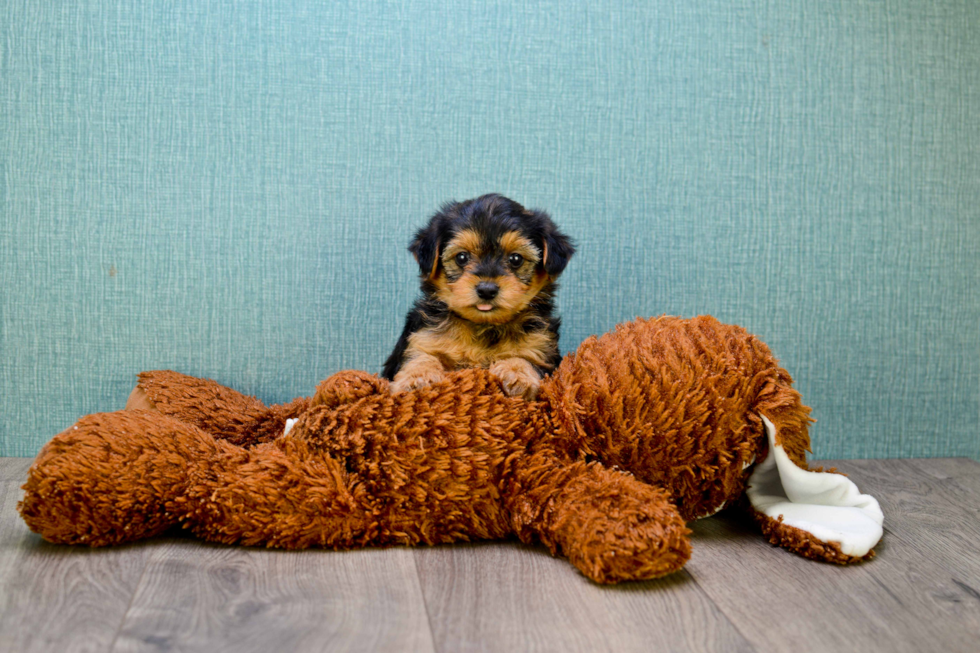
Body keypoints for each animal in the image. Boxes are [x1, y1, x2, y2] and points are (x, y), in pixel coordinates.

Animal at [382, 191, 576, 400]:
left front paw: (517, 375)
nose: (487, 289)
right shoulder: (422, 338)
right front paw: (417, 379)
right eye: (461, 257)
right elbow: (421, 357)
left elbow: (525, 357)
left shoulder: (542, 349)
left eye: (516, 259)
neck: (483, 325)